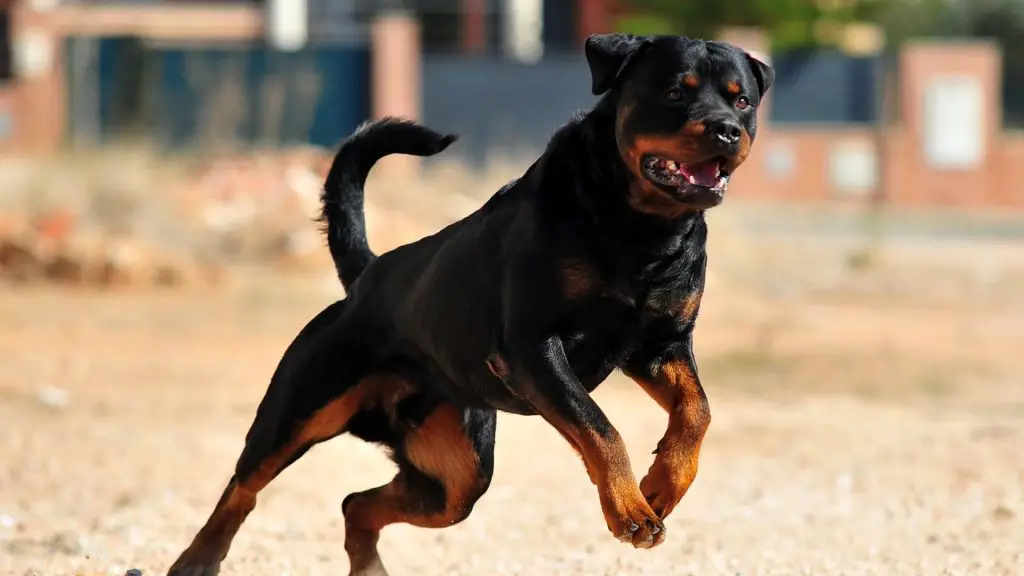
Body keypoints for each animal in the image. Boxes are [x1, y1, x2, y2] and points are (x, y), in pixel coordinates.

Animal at [167, 32, 770, 573]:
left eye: (742, 100)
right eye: (674, 91)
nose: (726, 129)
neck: (641, 229)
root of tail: (367, 276)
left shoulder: (660, 346)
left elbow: (697, 411)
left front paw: (662, 484)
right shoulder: (533, 347)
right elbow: (600, 427)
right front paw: (630, 510)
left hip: (458, 474)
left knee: (358, 504)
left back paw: (368, 566)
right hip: (301, 410)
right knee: (243, 487)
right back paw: (197, 560)